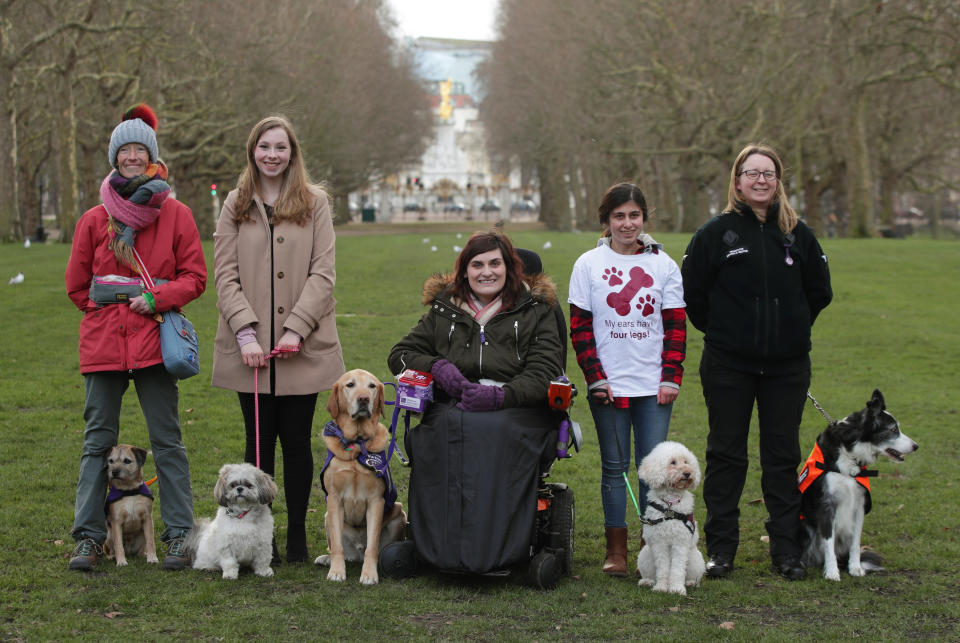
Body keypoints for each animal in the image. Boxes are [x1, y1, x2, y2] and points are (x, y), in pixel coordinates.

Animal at [316, 370, 404, 588]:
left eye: (372, 386)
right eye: (350, 385)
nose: (363, 399)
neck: (357, 444)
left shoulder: (376, 501)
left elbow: (371, 546)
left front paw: (369, 575)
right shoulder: (334, 499)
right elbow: (337, 546)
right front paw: (337, 572)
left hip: (399, 512)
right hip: (327, 517)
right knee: (335, 547)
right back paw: (326, 559)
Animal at [636, 440, 704, 596]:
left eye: (686, 461)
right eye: (673, 462)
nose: (688, 473)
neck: (670, 505)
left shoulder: (680, 543)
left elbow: (677, 569)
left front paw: (677, 588)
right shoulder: (659, 544)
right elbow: (662, 568)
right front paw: (661, 587)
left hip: (695, 559)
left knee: (694, 577)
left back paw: (690, 583)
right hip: (645, 556)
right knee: (650, 574)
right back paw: (647, 581)